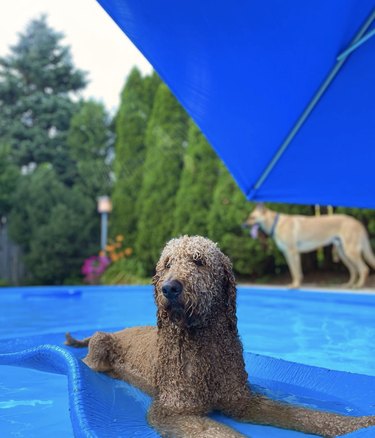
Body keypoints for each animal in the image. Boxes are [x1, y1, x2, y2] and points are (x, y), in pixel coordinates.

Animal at [67, 236, 375, 438]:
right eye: (167, 264)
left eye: (199, 261)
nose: (169, 288)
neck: (204, 347)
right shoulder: (174, 411)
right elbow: (222, 433)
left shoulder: (241, 400)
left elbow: (300, 413)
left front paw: (358, 423)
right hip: (100, 343)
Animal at [245, 204, 374, 290]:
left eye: (252, 217)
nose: (243, 225)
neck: (275, 223)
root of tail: (357, 222)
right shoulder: (288, 254)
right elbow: (295, 271)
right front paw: (296, 284)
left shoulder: (293, 253)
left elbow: (295, 272)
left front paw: (295, 285)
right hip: (343, 253)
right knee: (354, 270)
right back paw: (349, 285)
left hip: (350, 252)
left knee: (364, 269)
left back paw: (358, 286)